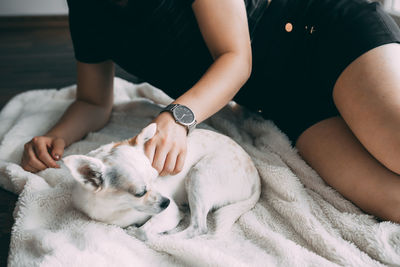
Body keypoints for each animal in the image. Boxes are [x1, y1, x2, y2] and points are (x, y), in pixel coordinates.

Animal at [63, 119, 260, 241]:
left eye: (156, 176)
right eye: (139, 193)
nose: (166, 201)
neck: (116, 209)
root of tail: (256, 177)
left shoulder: (169, 213)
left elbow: (143, 231)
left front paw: (141, 232)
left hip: (199, 175)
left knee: (199, 227)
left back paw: (170, 238)